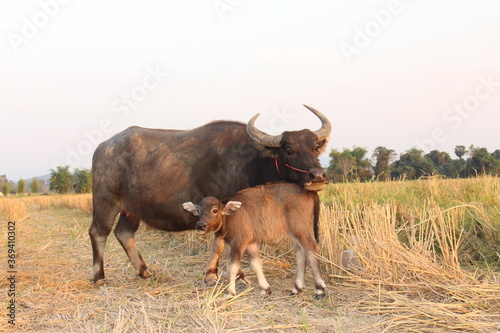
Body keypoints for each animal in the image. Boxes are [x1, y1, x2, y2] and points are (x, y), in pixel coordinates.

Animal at [89, 103, 332, 280]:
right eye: (289, 150)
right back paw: (99, 276)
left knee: (124, 233)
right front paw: (213, 274)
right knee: (98, 232)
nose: (318, 176)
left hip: (132, 210)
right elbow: (220, 242)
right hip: (105, 201)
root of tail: (102, 147)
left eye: (314, 147)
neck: (251, 161)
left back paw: (144, 271)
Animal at [182, 182, 326, 298]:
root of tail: (310, 192)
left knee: (312, 249)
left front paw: (229, 292)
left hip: (301, 231)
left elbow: (232, 266)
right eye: (199, 211)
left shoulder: (239, 243)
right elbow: (255, 263)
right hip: (296, 233)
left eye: (215, 210)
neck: (230, 217)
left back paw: (320, 289)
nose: (200, 226)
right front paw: (265, 289)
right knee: (301, 253)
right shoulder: (250, 243)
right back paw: (297, 288)